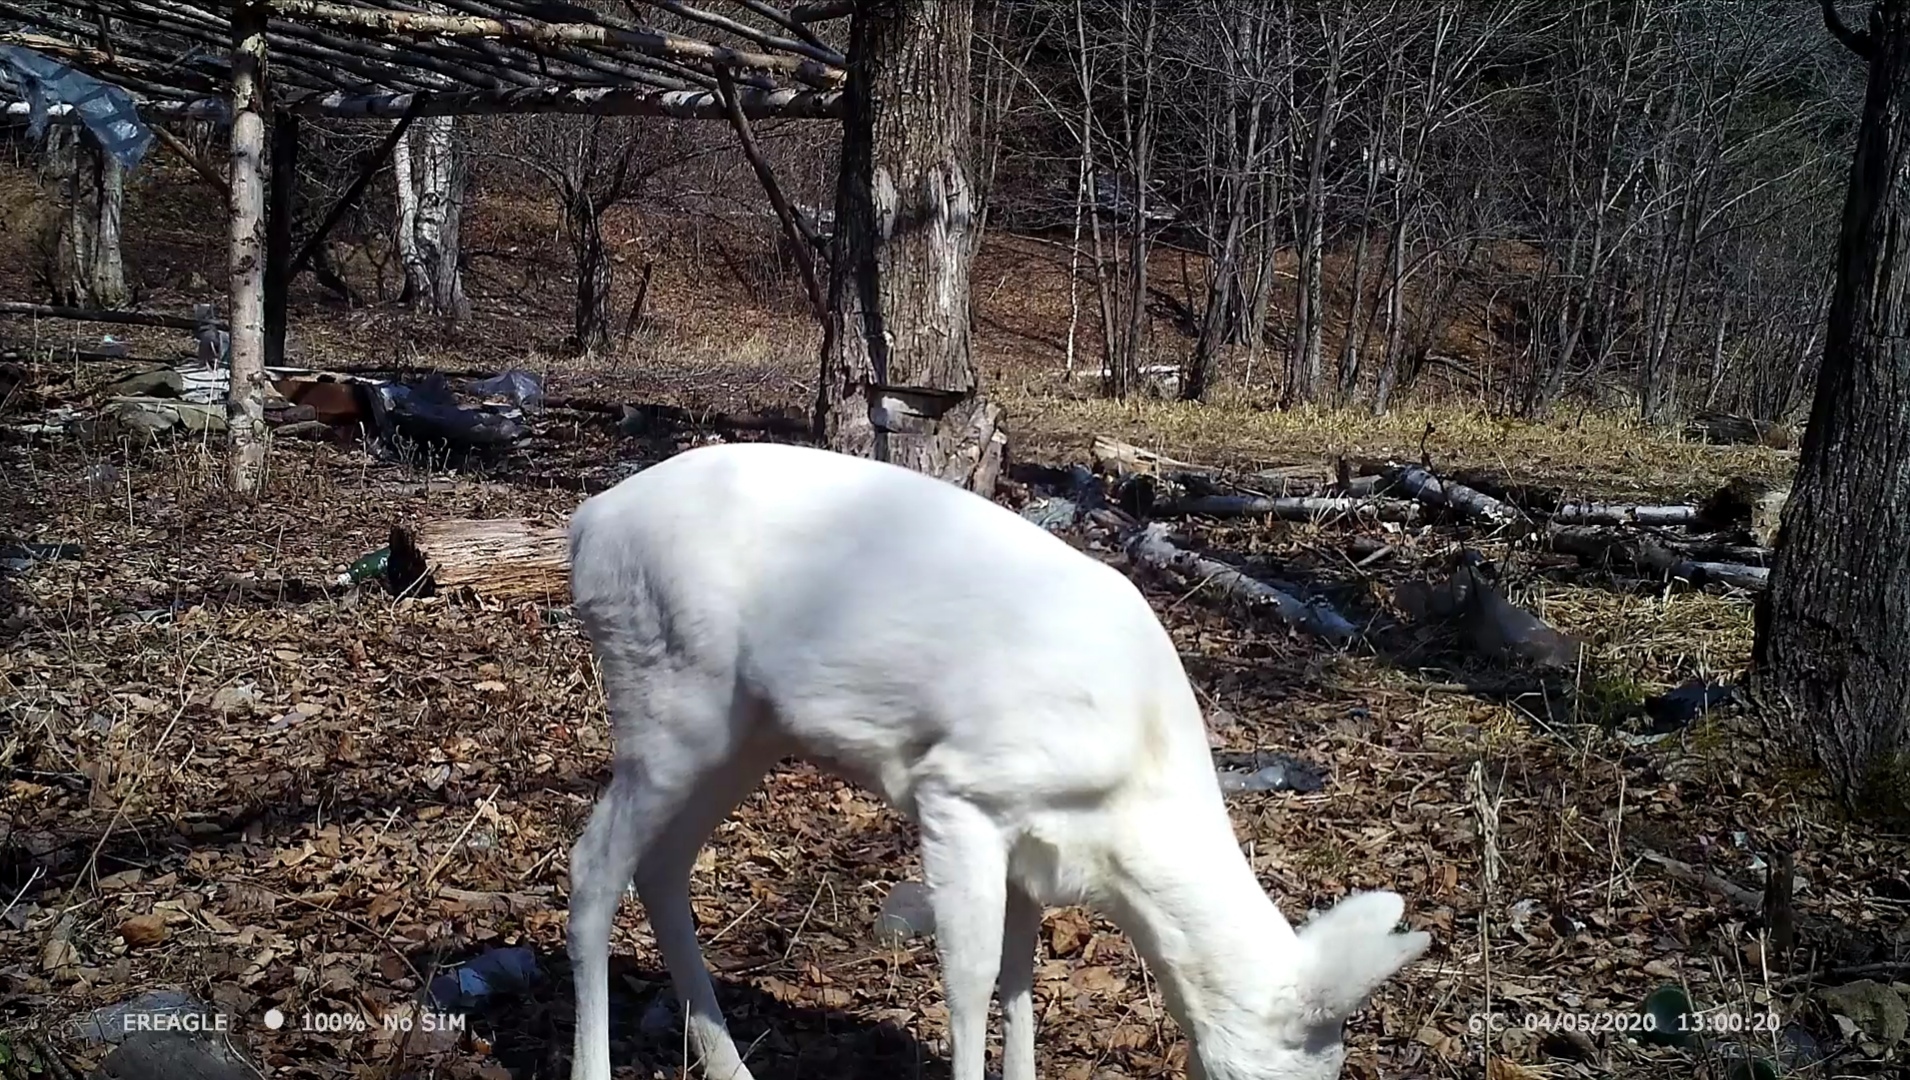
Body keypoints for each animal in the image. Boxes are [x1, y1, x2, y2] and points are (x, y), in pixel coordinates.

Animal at [557, 439, 1428, 1078]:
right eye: (1310, 1066)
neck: (1129, 814)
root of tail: (586, 524)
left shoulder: (1035, 848)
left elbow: (1020, 981)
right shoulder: (960, 791)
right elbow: (970, 981)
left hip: (746, 731)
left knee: (660, 866)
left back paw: (731, 1066)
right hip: (667, 692)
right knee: (593, 862)